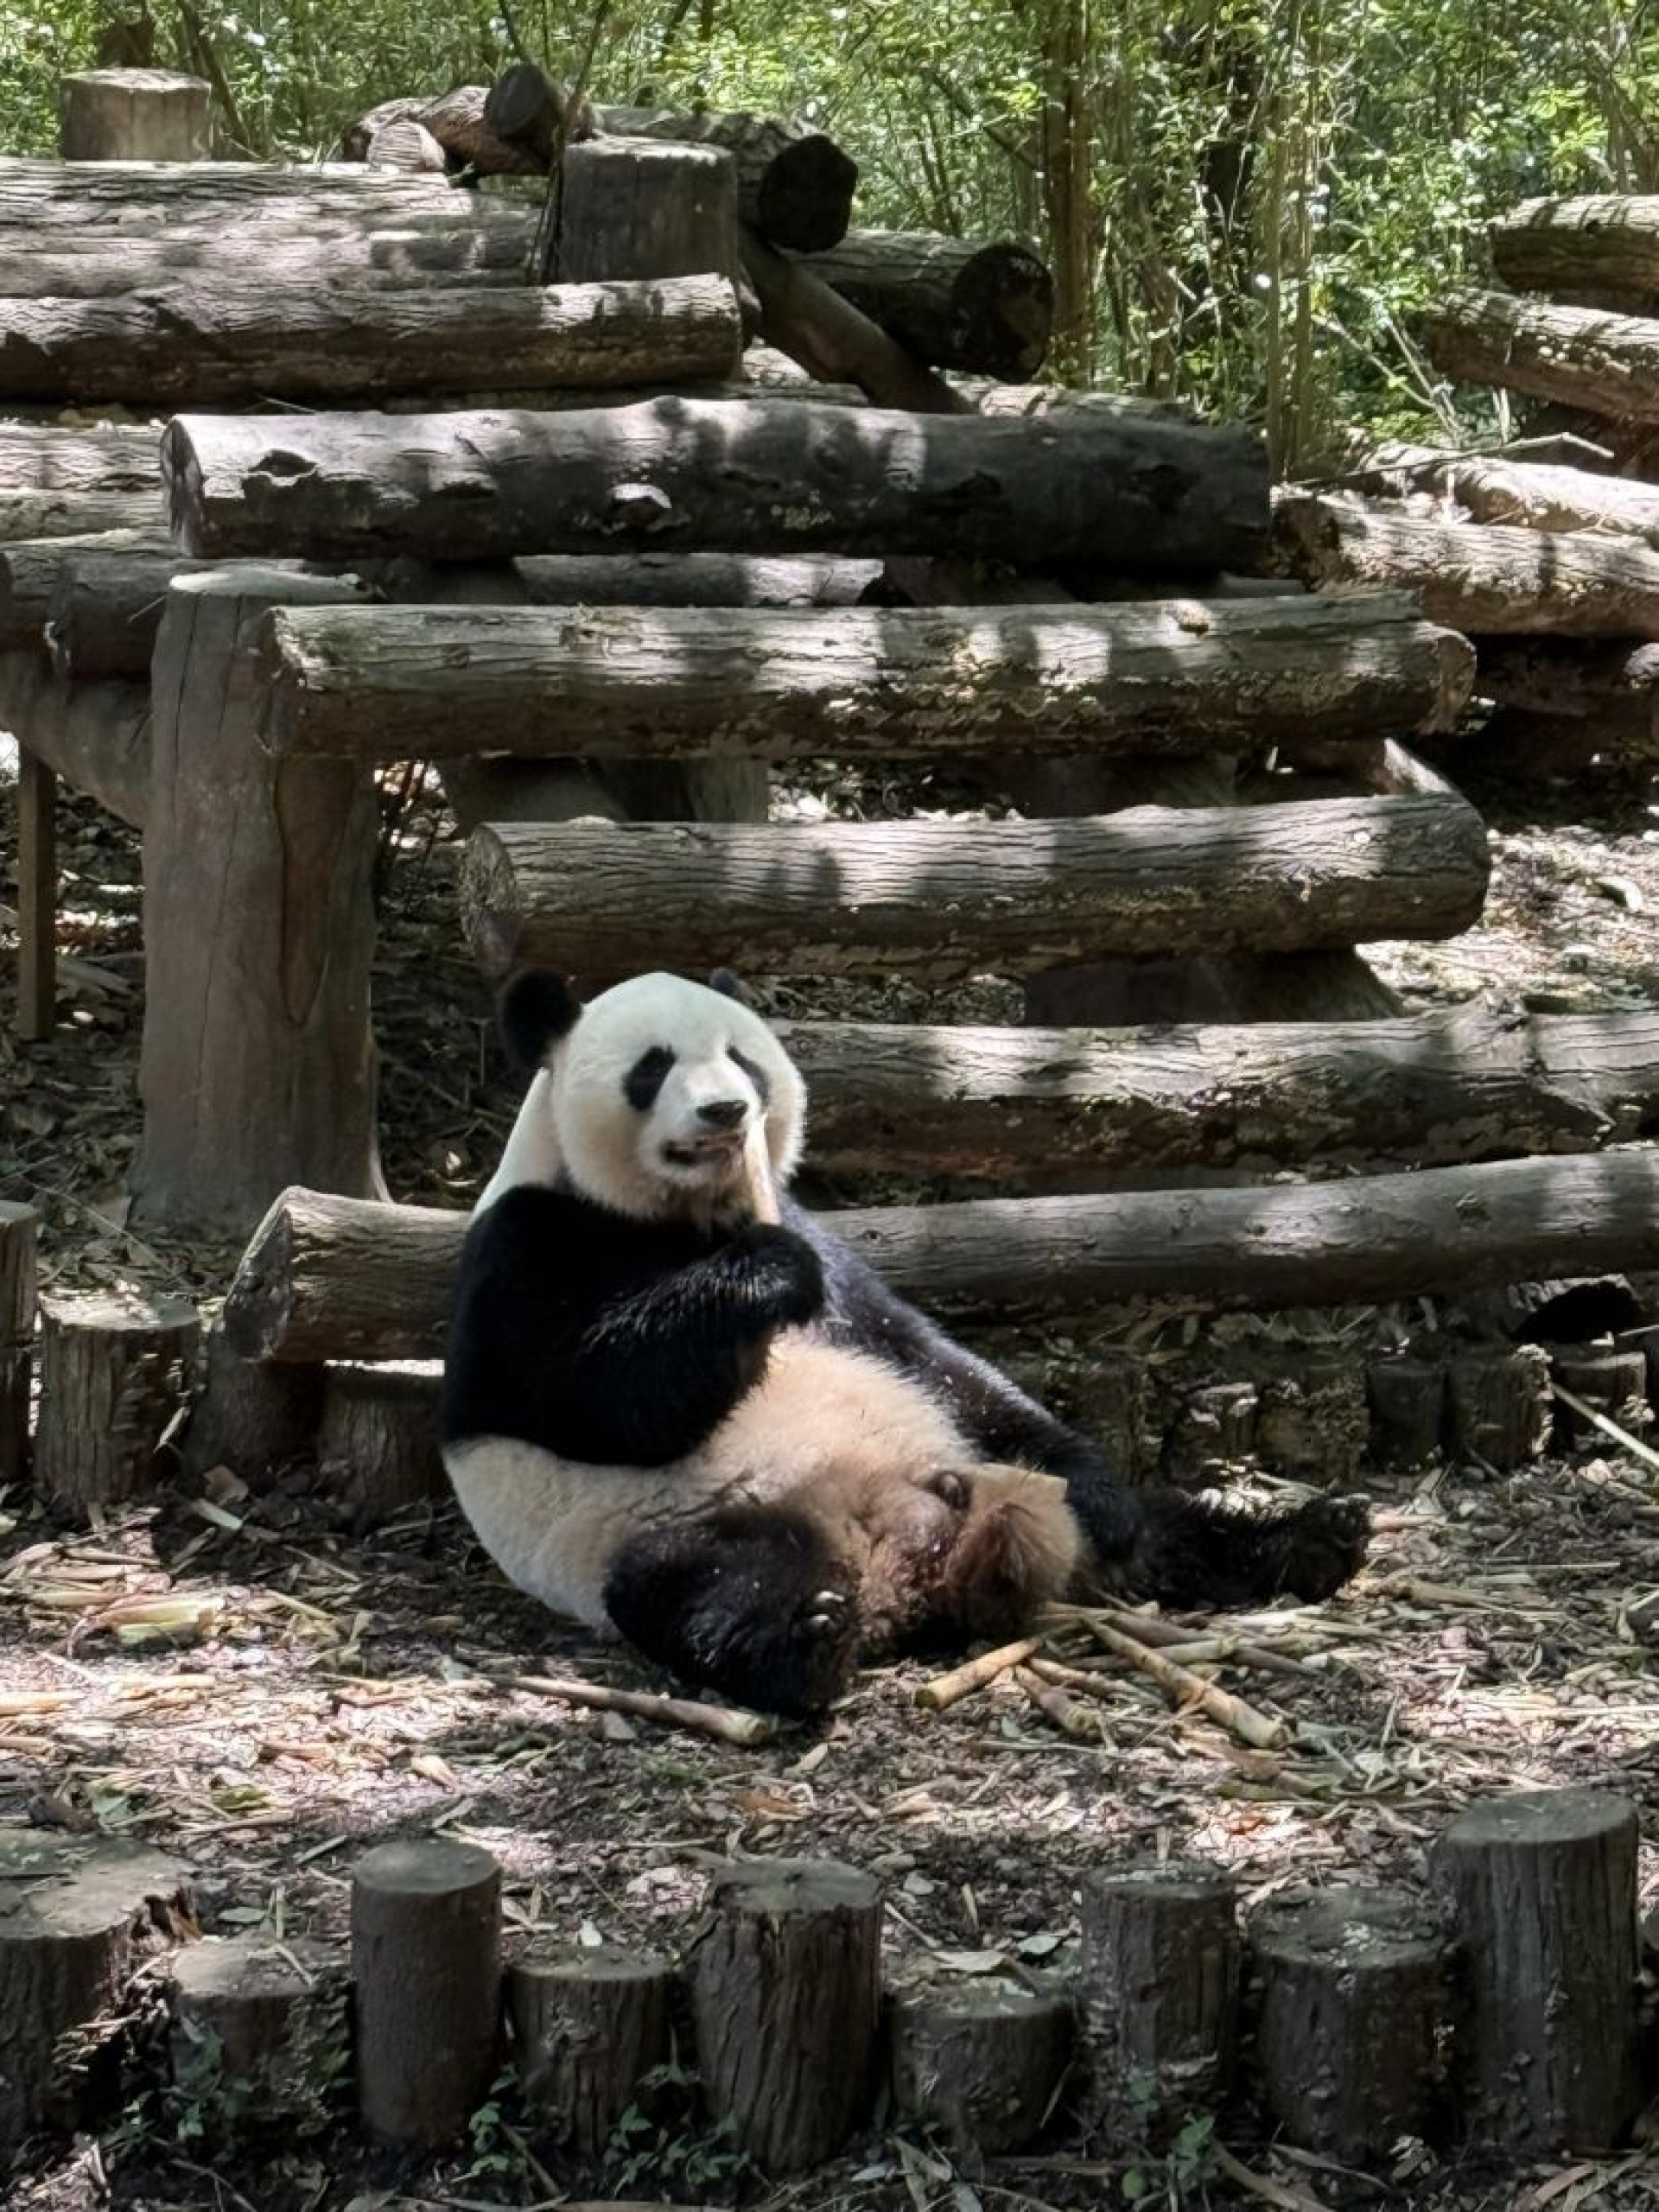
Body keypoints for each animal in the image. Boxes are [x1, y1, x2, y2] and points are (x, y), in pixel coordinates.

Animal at [440, 967, 1370, 1717]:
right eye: (654, 1065)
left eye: (742, 1058)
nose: (726, 1110)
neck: (689, 1217)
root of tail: (914, 1558)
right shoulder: (525, 1247)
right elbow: (602, 1397)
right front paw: (763, 1278)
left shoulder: (825, 1247)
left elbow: (930, 1356)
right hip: (674, 1521)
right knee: (696, 1585)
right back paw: (806, 1642)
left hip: (977, 1464)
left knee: (1151, 1522)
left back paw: (1310, 1539)